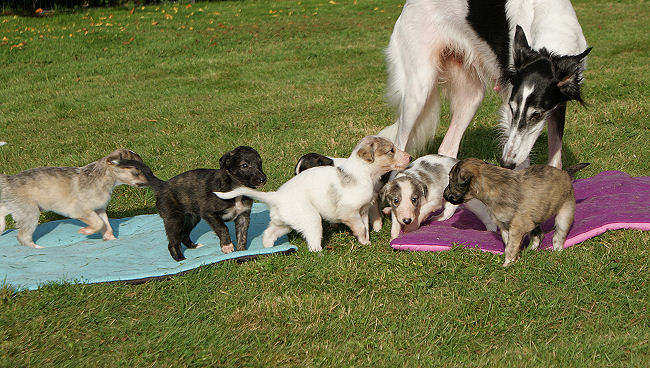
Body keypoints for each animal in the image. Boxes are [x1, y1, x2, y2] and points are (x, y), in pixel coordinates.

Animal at [0, 149, 147, 247]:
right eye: (136, 171)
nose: (149, 182)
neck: (104, 178)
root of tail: (8, 180)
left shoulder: (99, 209)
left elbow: (106, 225)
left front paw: (110, 238)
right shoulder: (81, 211)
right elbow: (98, 223)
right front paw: (86, 230)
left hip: (14, 208)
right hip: (30, 213)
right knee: (23, 237)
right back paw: (39, 248)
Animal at [121, 147, 266, 262]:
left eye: (260, 163)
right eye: (245, 165)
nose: (263, 179)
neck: (236, 188)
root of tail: (162, 185)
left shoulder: (243, 216)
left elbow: (242, 235)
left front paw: (241, 253)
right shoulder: (209, 213)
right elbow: (223, 228)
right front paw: (227, 246)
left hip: (192, 217)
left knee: (184, 235)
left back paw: (193, 246)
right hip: (174, 219)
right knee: (173, 243)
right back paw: (180, 260)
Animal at [215, 137, 408, 252]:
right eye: (391, 150)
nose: (410, 157)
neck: (363, 172)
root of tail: (276, 196)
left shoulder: (363, 210)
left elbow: (366, 228)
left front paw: (365, 242)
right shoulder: (349, 212)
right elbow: (360, 227)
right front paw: (363, 241)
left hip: (285, 222)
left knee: (269, 233)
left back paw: (269, 248)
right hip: (311, 219)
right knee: (313, 243)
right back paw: (320, 253)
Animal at [378, 0, 588, 170]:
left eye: (538, 114)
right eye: (512, 109)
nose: (505, 163)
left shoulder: (559, 105)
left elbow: (555, 160)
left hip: (471, 97)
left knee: (447, 148)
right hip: (418, 92)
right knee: (400, 147)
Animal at [440, 158, 588, 268]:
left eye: (451, 180)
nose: (444, 195)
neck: (492, 186)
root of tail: (565, 173)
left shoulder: (517, 227)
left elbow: (511, 247)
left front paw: (507, 264)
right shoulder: (505, 226)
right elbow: (508, 244)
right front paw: (514, 259)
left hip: (564, 215)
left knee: (558, 237)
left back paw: (556, 252)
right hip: (533, 221)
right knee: (538, 235)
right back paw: (530, 251)